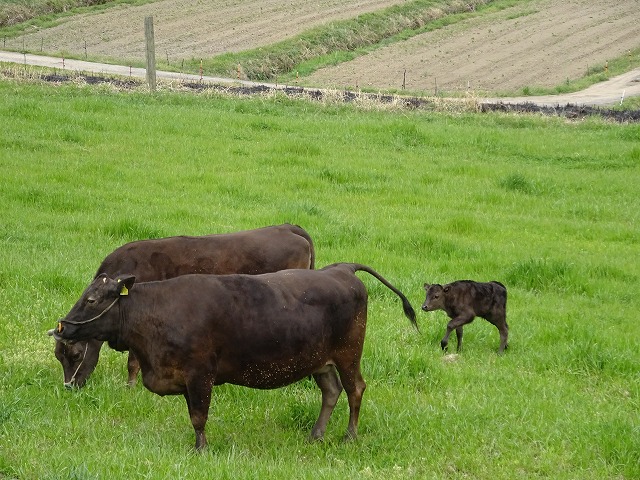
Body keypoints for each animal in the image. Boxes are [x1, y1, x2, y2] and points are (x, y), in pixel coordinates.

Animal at [51, 266, 420, 450]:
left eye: (93, 298)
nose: (62, 327)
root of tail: (343, 269)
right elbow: (193, 414)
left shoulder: (201, 373)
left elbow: (198, 416)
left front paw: (201, 449)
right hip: (320, 360)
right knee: (331, 391)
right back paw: (315, 435)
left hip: (347, 354)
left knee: (355, 389)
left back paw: (349, 437)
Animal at [53, 223, 316, 388]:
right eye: (58, 356)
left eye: (76, 354)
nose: (70, 386)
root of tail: (288, 227)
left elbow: (133, 362)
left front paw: (130, 387)